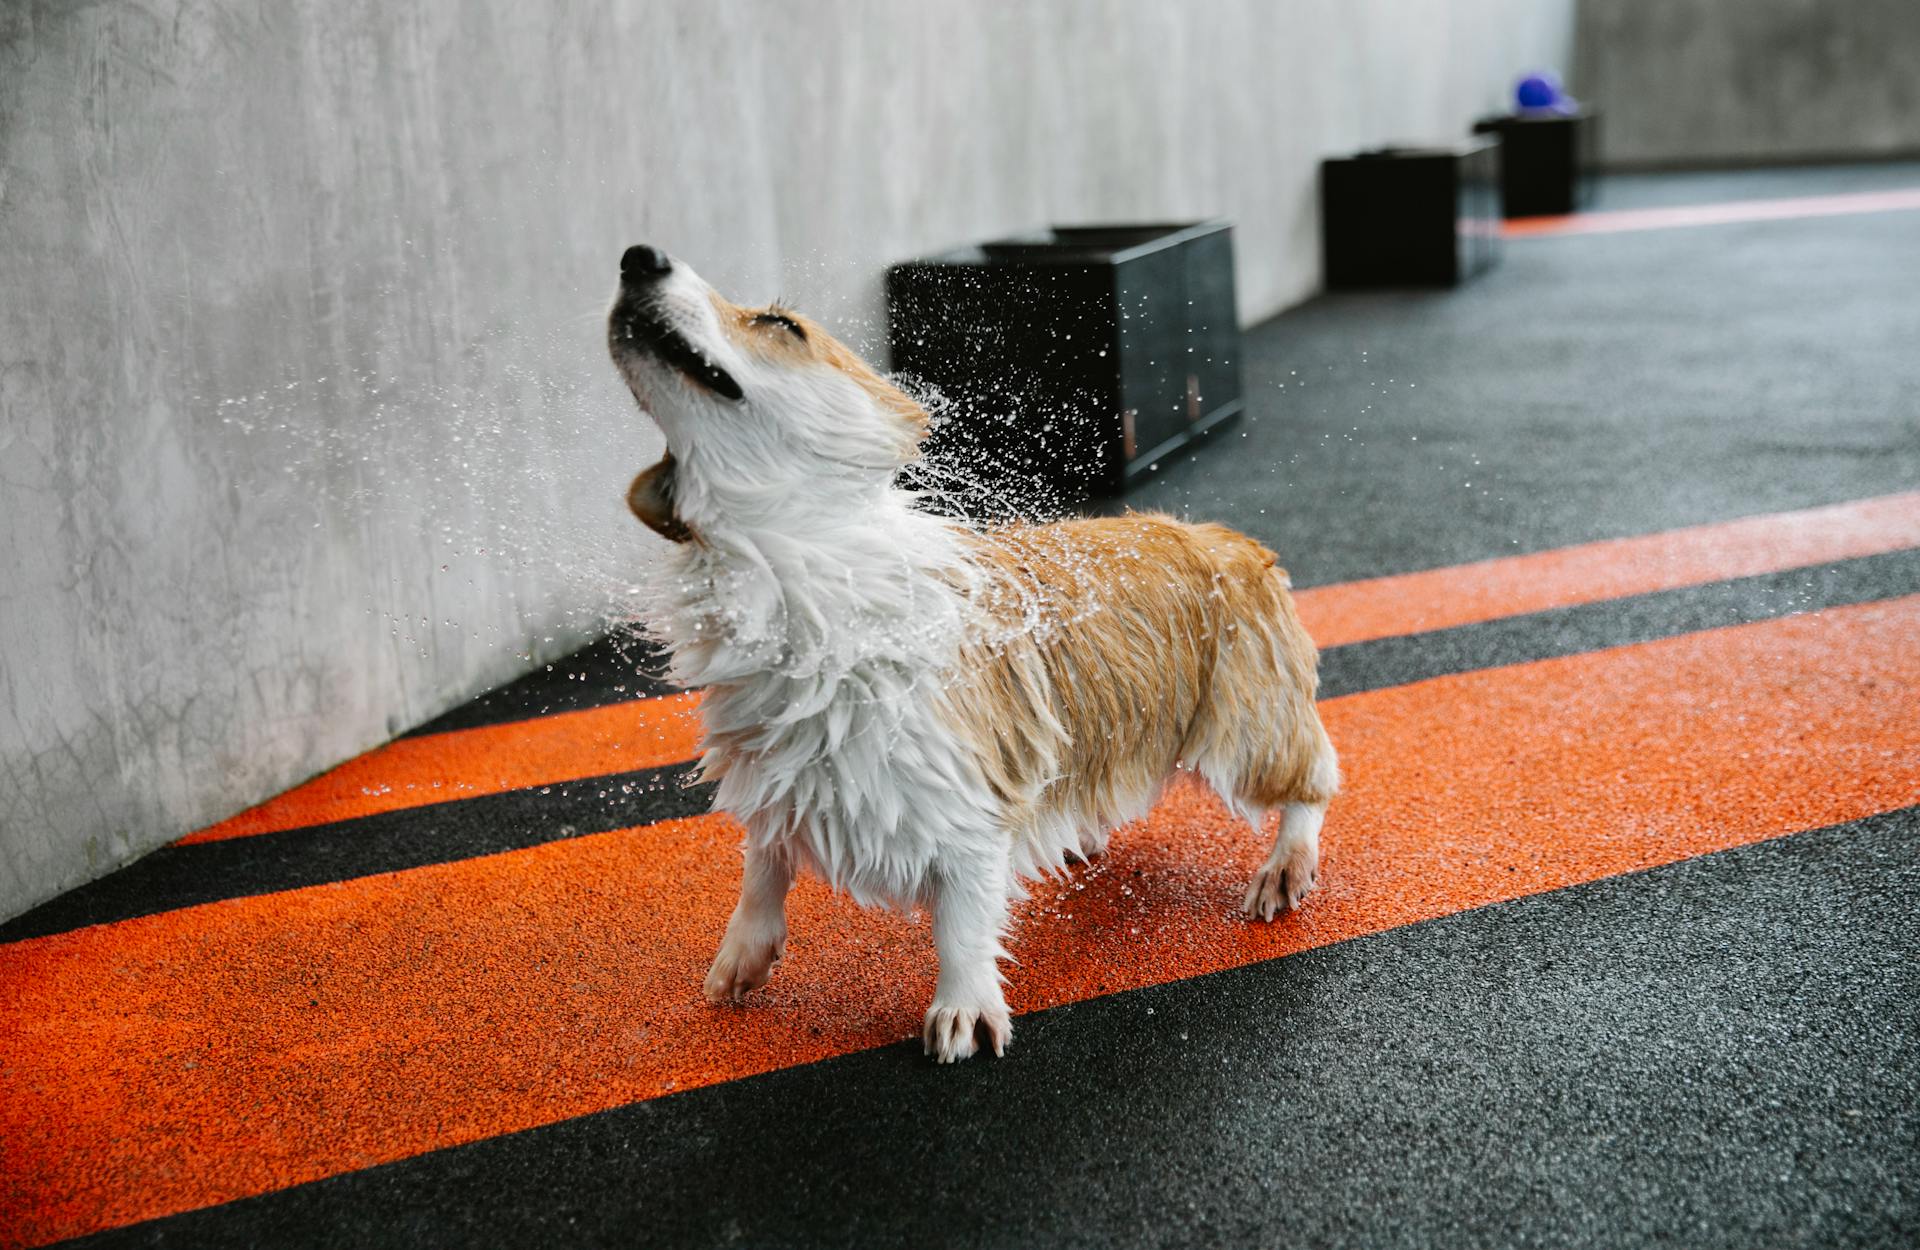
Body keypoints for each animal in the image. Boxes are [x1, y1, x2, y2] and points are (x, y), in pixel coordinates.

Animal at [610, 247, 1336, 1067]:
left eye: (779, 323)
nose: (637, 257)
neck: (791, 573)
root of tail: (1224, 536)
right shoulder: (775, 772)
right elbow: (763, 862)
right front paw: (743, 954)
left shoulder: (973, 798)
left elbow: (961, 915)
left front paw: (963, 1008)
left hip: (1246, 738)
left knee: (1317, 775)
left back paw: (1285, 867)